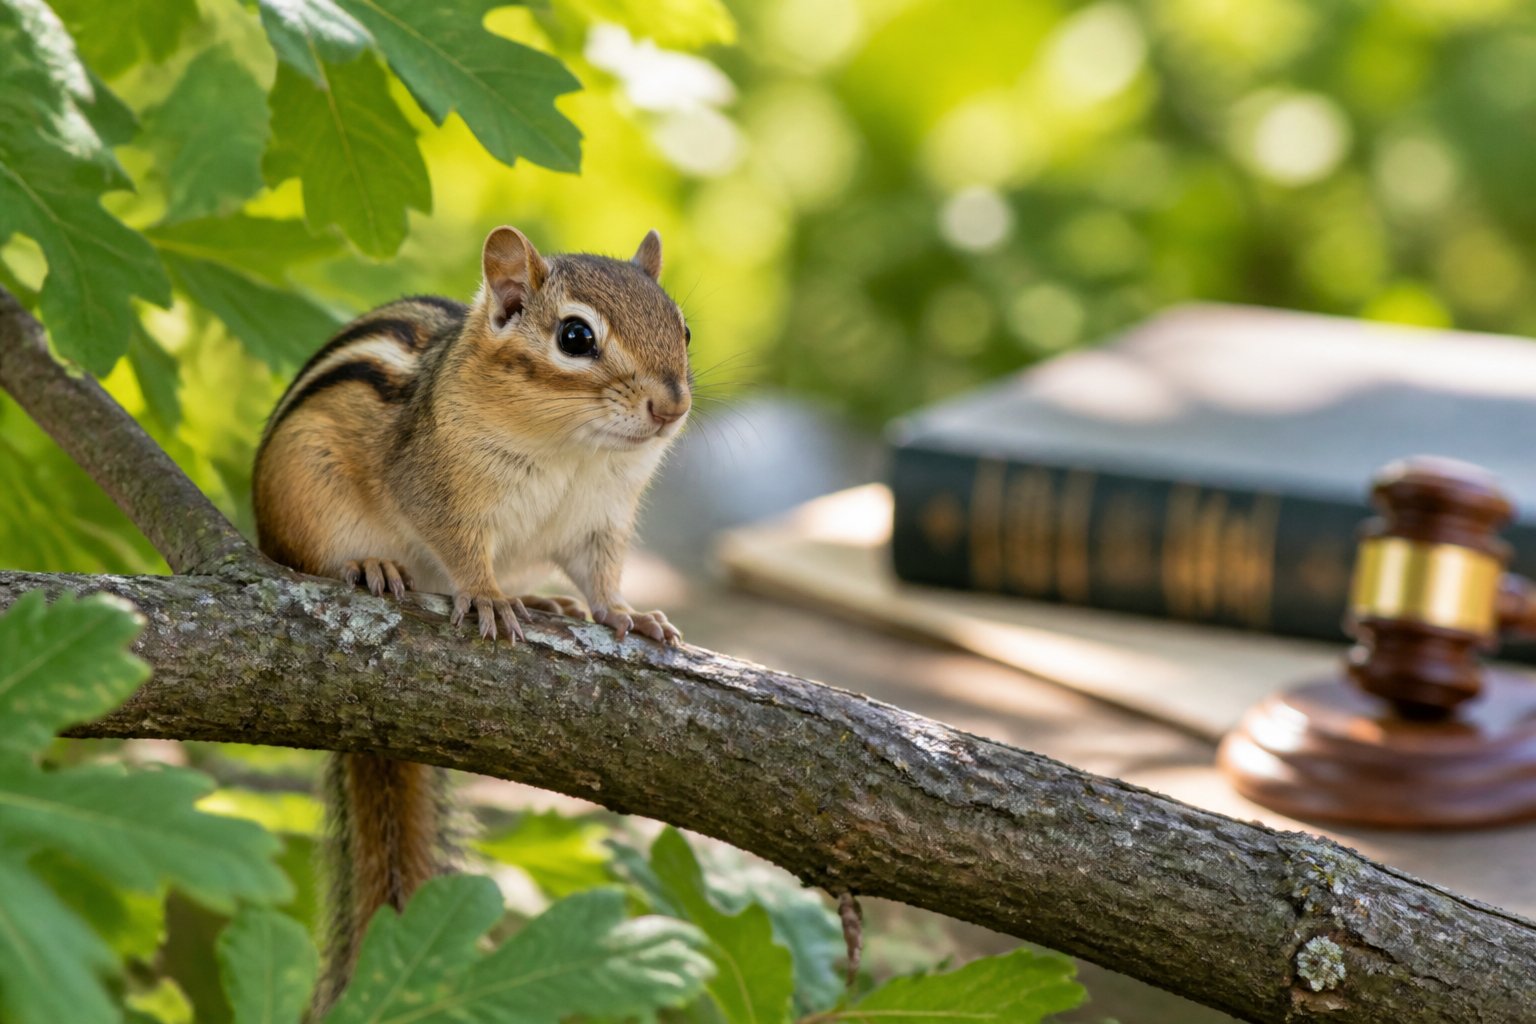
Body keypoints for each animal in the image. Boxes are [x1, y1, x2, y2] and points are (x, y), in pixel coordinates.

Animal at [251, 225, 691, 1010]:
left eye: (685, 329)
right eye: (575, 336)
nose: (671, 407)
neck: (571, 450)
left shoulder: (599, 523)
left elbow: (603, 576)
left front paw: (626, 613)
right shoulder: (439, 490)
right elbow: (460, 551)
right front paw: (484, 595)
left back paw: (544, 600)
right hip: (303, 503)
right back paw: (370, 568)